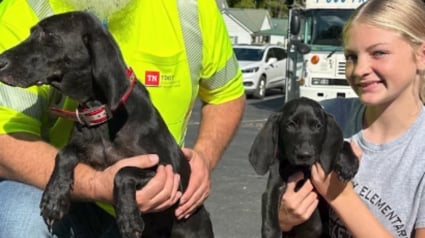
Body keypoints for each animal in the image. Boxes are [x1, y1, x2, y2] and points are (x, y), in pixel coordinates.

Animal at [0, 10, 214, 238]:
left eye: (48, 34)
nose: (0, 61)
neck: (101, 113)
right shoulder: (89, 154)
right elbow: (65, 153)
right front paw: (54, 197)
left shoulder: (169, 177)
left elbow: (123, 172)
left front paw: (128, 217)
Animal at [248, 96, 358, 238]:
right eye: (291, 125)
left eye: (317, 126)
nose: (304, 155)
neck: (301, 168)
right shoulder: (273, 188)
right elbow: (270, 220)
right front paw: (272, 233)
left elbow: (343, 143)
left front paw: (348, 164)